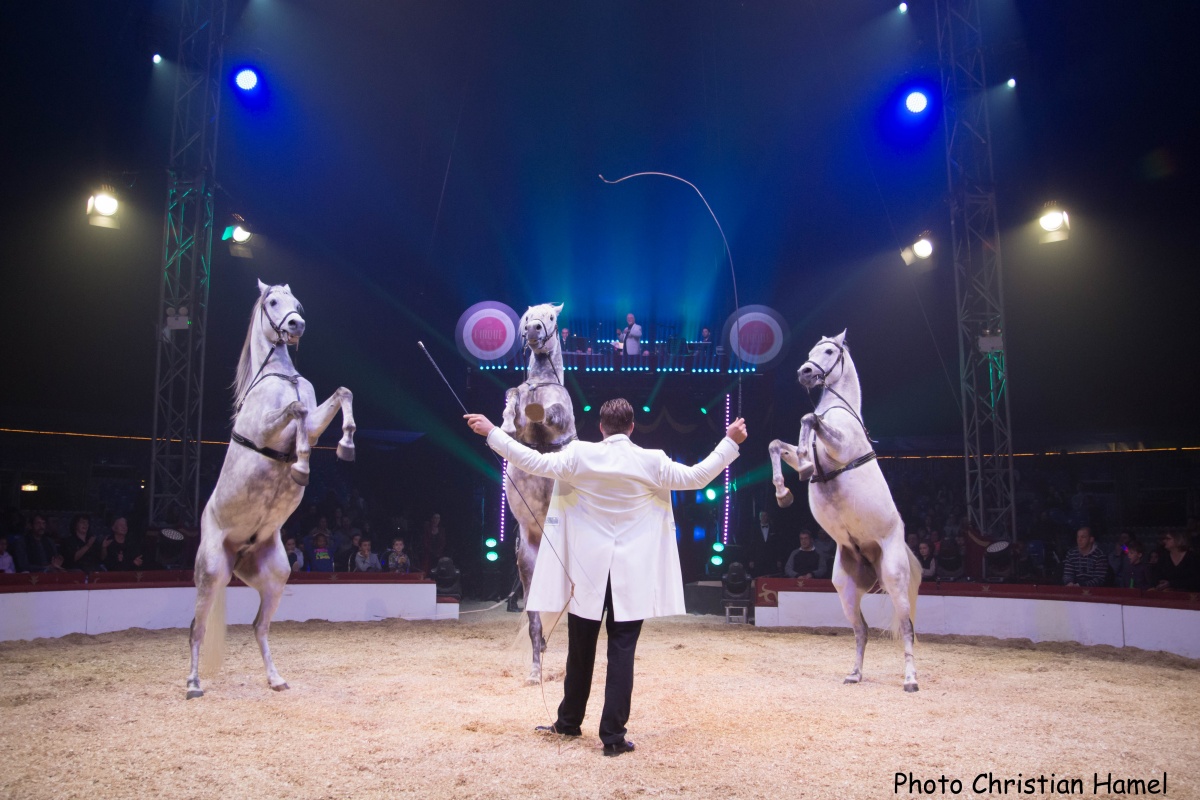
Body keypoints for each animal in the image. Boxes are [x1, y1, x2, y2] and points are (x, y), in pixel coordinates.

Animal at [186, 280, 356, 699]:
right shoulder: (268, 427)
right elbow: (296, 411)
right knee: (197, 628)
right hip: (210, 572)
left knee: (259, 626)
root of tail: (239, 553)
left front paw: (345, 446)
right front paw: (300, 467)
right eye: (273, 302)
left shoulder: (316, 420)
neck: (280, 375)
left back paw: (276, 679)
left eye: (297, 302)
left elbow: (340, 395)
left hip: (275, 576)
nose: (296, 324)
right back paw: (193, 684)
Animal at [768, 331, 921, 692]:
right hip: (845, 588)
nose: (805, 372)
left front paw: (804, 464)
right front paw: (785, 490)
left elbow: (808, 419)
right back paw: (854, 674)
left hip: (895, 578)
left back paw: (910, 679)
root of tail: (871, 559)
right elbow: (778, 444)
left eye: (828, 351)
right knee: (861, 630)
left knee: (906, 627)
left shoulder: (837, 447)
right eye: (810, 351)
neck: (838, 410)